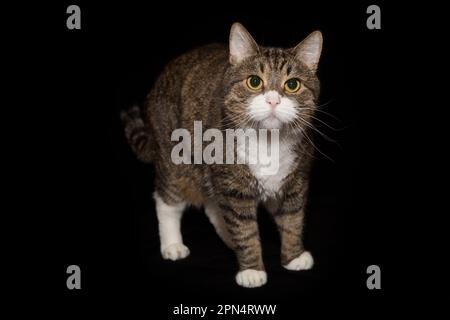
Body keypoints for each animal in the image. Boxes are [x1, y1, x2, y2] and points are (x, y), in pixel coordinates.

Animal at [121, 22, 322, 288]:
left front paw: (293, 256)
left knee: (213, 206)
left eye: (292, 85)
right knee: (167, 199)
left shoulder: (295, 182)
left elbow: (292, 220)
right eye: (254, 81)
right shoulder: (232, 185)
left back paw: (228, 238)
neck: (269, 142)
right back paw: (173, 244)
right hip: (175, 159)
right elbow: (244, 229)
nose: (273, 100)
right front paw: (252, 269)